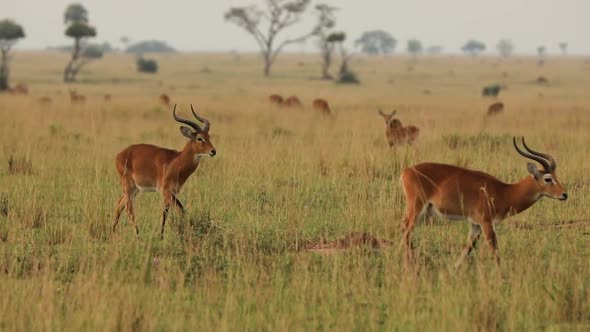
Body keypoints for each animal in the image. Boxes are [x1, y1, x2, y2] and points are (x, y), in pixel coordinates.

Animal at [111, 105, 217, 237]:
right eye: (199, 138)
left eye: (208, 137)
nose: (213, 151)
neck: (176, 161)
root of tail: (119, 155)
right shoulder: (165, 191)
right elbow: (169, 212)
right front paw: (161, 236)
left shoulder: (172, 192)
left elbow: (178, 210)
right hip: (129, 187)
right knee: (129, 209)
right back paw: (137, 235)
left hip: (135, 189)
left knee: (119, 204)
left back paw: (113, 232)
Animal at [402, 136, 568, 268]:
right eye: (548, 178)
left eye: (556, 176)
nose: (564, 194)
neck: (505, 191)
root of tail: (406, 171)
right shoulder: (486, 223)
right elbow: (495, 251)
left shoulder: (475, 225)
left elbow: (468, 248)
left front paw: (454, 269)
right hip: (416, 208)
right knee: (406, 229)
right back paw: (409, 263)